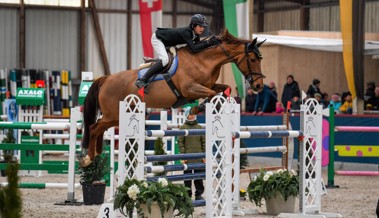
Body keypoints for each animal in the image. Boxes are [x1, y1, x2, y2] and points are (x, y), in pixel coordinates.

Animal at [80, 28, 264, 166]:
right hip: (113, 114)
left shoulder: (209, 85)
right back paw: (89, 158)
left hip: (117, 116)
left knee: (98, 128)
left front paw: (205, 106)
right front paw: (196, 109)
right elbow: (212, 95)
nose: (259, 86)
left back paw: (96, 153)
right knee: (94, 127)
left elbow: (223, 89)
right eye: (253, 59)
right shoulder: (190, 89)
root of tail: (106, 79)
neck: (204, 61)